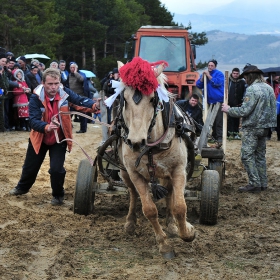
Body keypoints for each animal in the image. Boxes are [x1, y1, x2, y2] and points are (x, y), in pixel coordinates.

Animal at [106, 58, 196, 260]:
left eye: (153, 99)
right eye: (124, 100)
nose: (136, 142)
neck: (151, 147)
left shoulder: (179, 169)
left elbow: (180, 206)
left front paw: (187, 232)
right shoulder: (134, 173)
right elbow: (149, 210)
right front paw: (164, 245)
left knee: (170, 194)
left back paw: (171, 225)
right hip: (124, 172)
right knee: (132, 194)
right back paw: (130, 223)